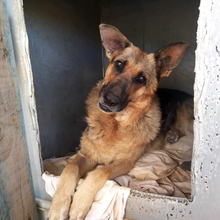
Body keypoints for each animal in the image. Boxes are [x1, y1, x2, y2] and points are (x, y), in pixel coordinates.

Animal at [48, 24, 192, 220]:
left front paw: (79, 202)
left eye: (141, 79)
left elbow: (101, 171)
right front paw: (59, 206)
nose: (109, 100)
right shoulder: (86, 154)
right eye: (119, 64)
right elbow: (70, 167)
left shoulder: (125, 162)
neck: (114, 125)